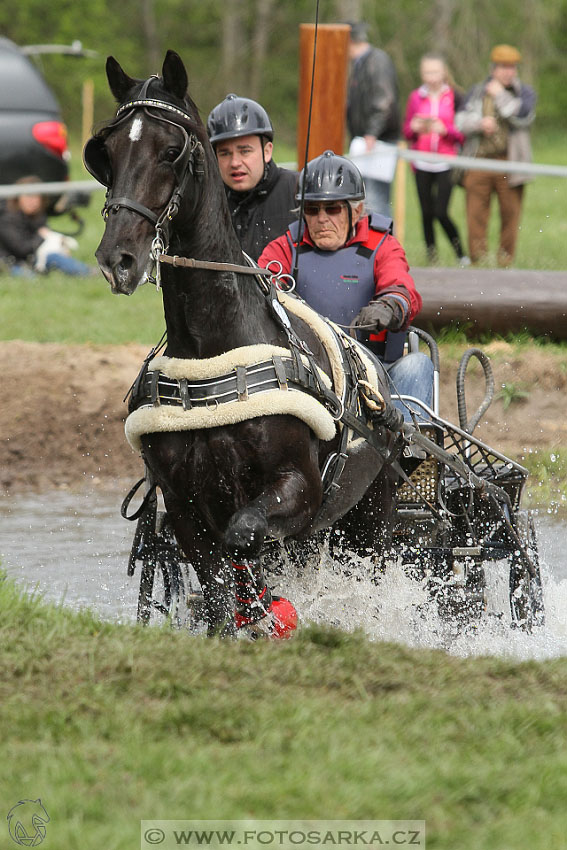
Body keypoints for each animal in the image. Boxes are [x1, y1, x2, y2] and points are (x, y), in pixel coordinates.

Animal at [85, 51, 404, 636]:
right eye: (108, 153)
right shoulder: (184, 508)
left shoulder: (299, 490)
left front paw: (269, 609)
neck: (214, 351)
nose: (117, 258)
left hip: (371, 520)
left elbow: (245, 538)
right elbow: (217, 588)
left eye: (171, 150)